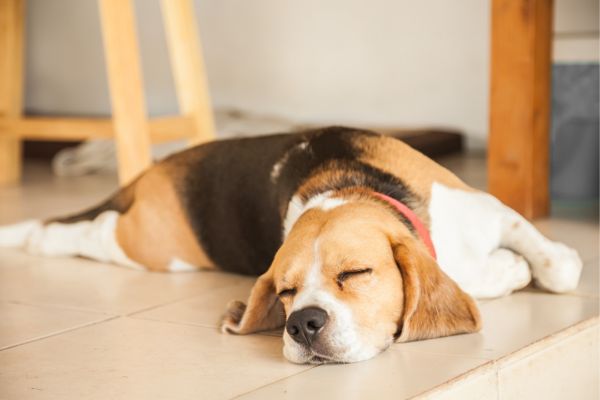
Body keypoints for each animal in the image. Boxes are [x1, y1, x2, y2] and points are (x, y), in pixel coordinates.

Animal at [0, 127, 580, 362]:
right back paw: (37, 237)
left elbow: (555, 264)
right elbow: (494, 272)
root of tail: (160, 166)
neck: (348, 188)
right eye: (285, 292)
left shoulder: (488, 207)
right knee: (91, 231)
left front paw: (549, 261)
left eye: (355, 274)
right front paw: (509, 271)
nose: (303, 324)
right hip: (152, 246)